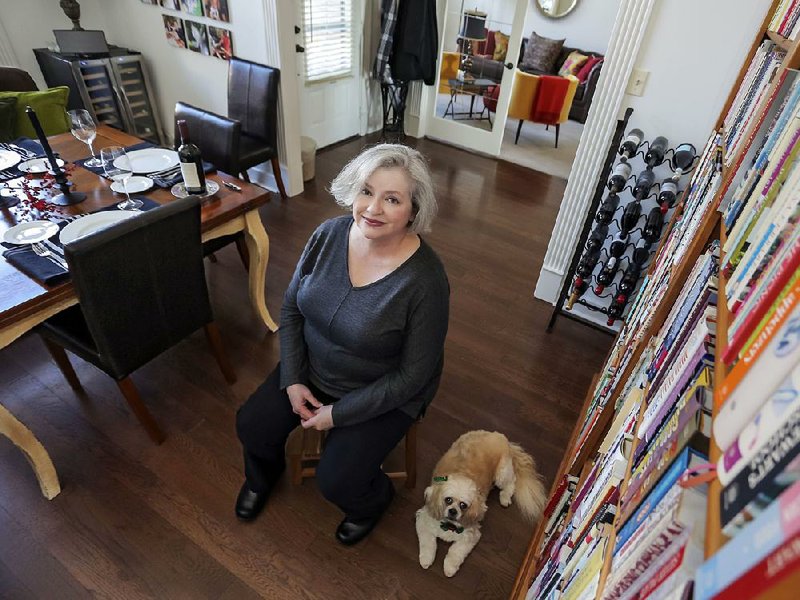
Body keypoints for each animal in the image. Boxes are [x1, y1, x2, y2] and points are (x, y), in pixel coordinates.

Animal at [416, 426, 548, 576]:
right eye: (448, 500)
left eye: (463, 505)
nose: (453, 511)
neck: (450, 525)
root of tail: (500, 436)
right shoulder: (424, 521)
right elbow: (428, 544)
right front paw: (426, 560)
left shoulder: (470, 535)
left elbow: (455, 552)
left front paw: (449, 568)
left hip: (502, 474)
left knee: (511, 482)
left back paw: (505, 498)